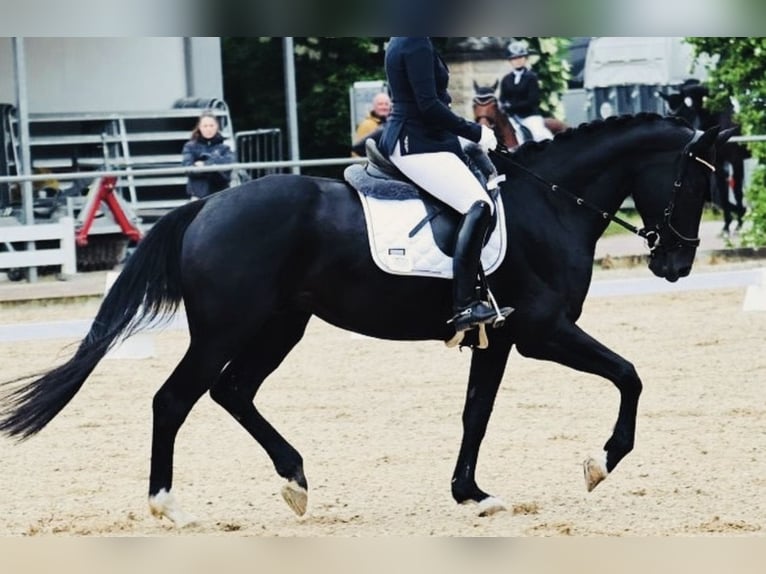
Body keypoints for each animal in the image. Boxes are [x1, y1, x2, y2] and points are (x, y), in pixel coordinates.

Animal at [0, 114, 732, 526]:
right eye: (698, 181)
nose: (675, 264)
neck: (549, 204)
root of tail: (206, 207)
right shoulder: (543, 332)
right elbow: (630, 375)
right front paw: (599, 463)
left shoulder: (497, 338)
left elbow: (476, 413)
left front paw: (472, 495)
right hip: (227, 329)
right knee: (175, 397)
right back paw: (168, 507)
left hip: (282, 325)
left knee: (232, 391)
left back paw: (294, 482)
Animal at [659, 82, 750, 235]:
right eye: (667, 112)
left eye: (681, 112)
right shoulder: (718, 164)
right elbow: (723, 194)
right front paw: (726, 226)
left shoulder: (736, 160)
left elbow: (737, 192)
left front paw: (739, 225)